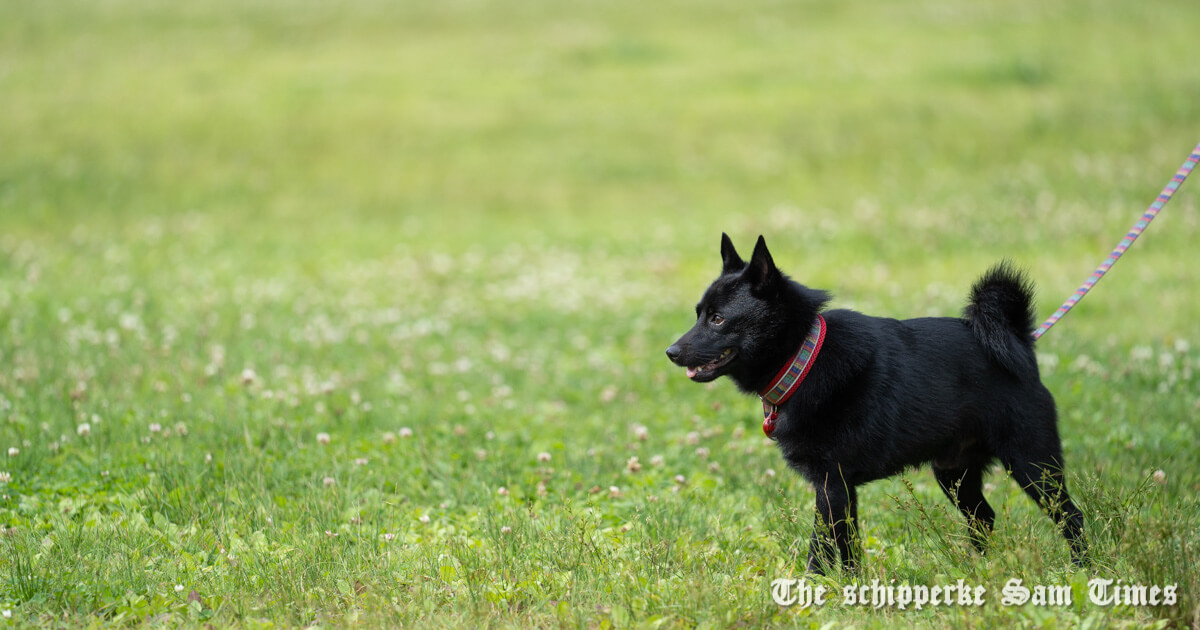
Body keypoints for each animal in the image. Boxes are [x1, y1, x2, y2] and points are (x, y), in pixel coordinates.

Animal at [667, 232, 1089, 571]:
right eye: (699, 314)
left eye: (718, 319)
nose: (671, 352)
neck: (804, 357)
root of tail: (1019, 340)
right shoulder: (841, 489)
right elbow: (847, 545)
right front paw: (852, 589)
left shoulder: (830, 483)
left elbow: (822, 546)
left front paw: (814, 588)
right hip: (955, 473)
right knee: (983, 517)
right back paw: (982, 569)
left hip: (1033, 464)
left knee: (1071, 516)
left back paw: (1083, 568)